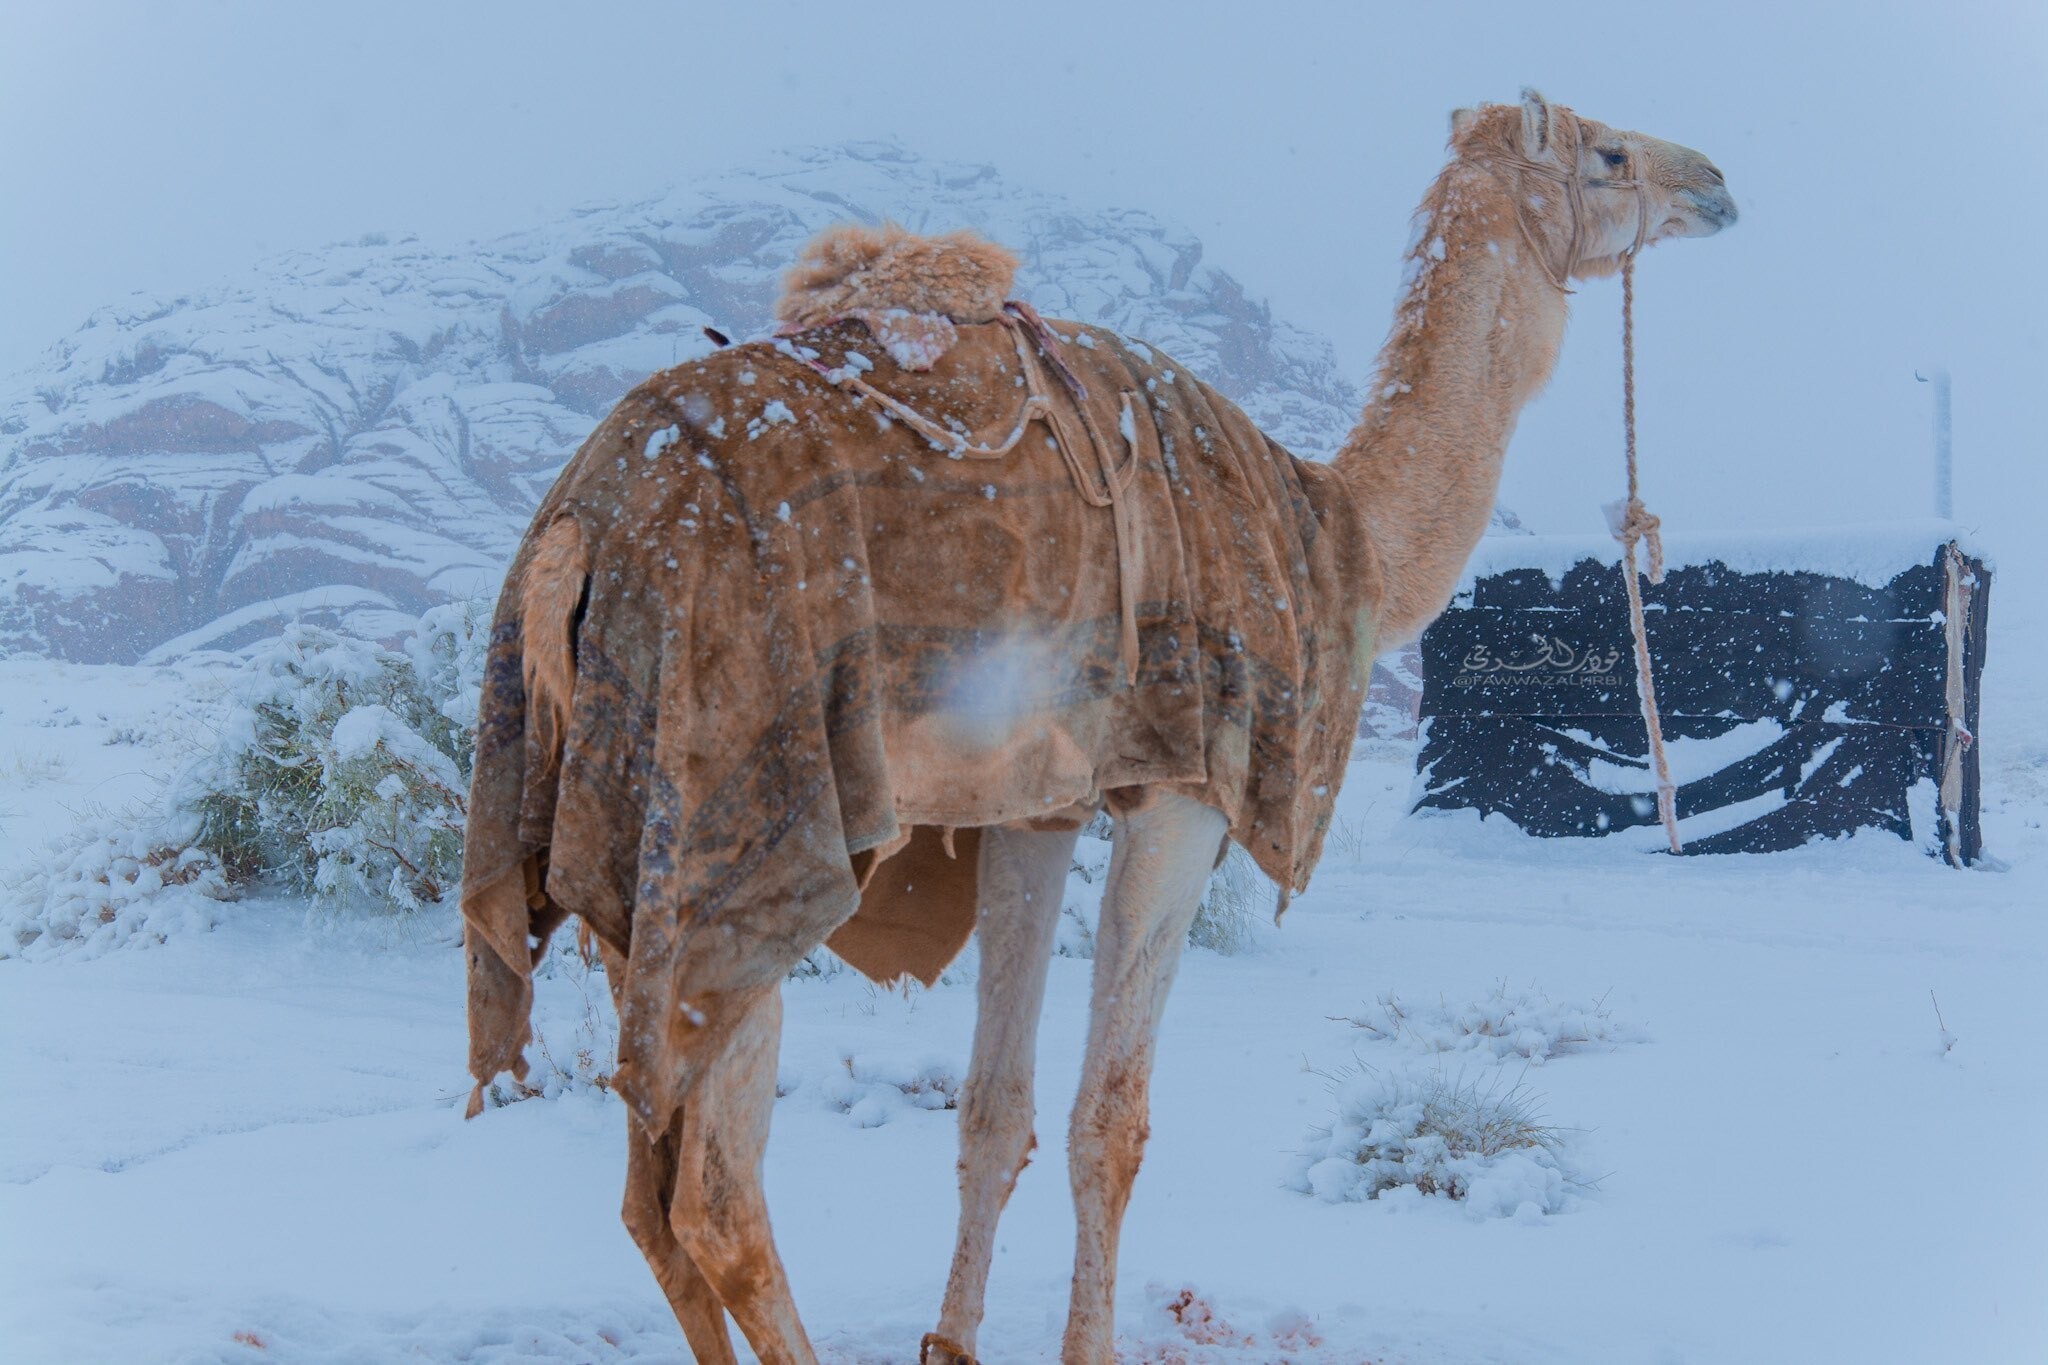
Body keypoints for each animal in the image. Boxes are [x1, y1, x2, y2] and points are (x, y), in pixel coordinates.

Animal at [460, 90, 1728, 1358]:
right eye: (1608, 152)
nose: (1712, 182)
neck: (1334, 536)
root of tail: (575, 533)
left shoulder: (1038, 805)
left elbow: (992, 1111)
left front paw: (951, 1343)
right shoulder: (1182, 789)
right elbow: (1107, 1124)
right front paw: (1084, 1344)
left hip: (624, 848)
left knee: (650, 1199)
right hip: (735, 821)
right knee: (714, 1202)